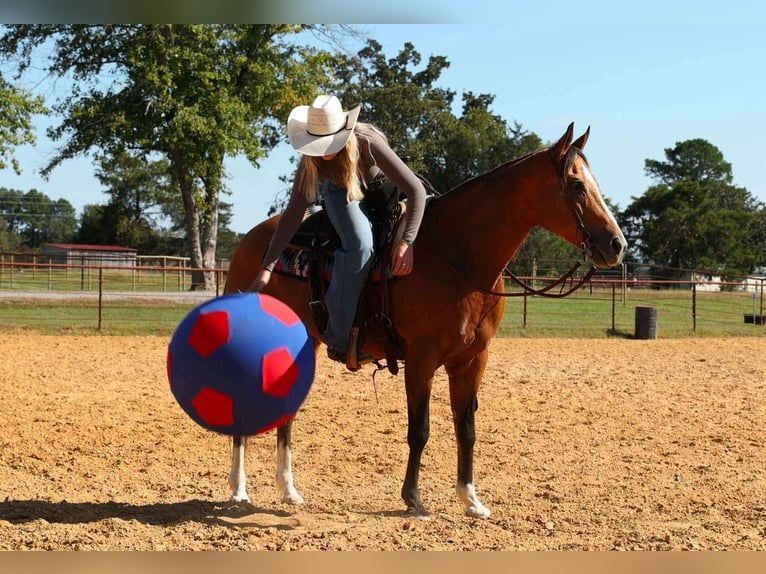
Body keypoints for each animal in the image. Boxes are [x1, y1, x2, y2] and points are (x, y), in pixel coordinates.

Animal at [223, 123, 627, 518]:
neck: (456, 256)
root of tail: (250, 244)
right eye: (576, 184)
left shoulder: (472, 360)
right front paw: (413, 498)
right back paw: (239, 490)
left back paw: (288, 490)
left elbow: (466, 428)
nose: (617, 244)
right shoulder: (421, 358)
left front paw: (470, 498)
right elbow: (420, 429)